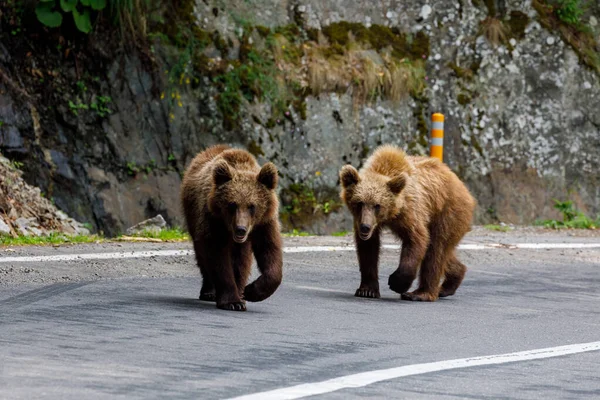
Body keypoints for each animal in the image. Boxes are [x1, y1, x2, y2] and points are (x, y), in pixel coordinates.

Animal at [180, 145, 284, 310]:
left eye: (252, 206)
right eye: (232, 204)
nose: (240, 229)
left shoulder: (264, 223)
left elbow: (269, 250)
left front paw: (250, 291)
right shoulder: (213, 221)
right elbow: (218, 258)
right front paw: (232, 301)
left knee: (242, 259)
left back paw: (240, 291)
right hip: (193, 215)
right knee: (202, 256)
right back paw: (209, 292)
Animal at [340, 145, 476, 302]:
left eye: (377, 205)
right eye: (359, 203)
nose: (365, 227)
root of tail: (464, 187)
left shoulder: (411, 211)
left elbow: (416, 239)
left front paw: (396, 282)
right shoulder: (368, 222)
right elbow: (368, 249)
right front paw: (367, 290)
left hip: (447, 212)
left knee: (436, 249)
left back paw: (420, 293)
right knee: (445, 253)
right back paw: (449, 283)